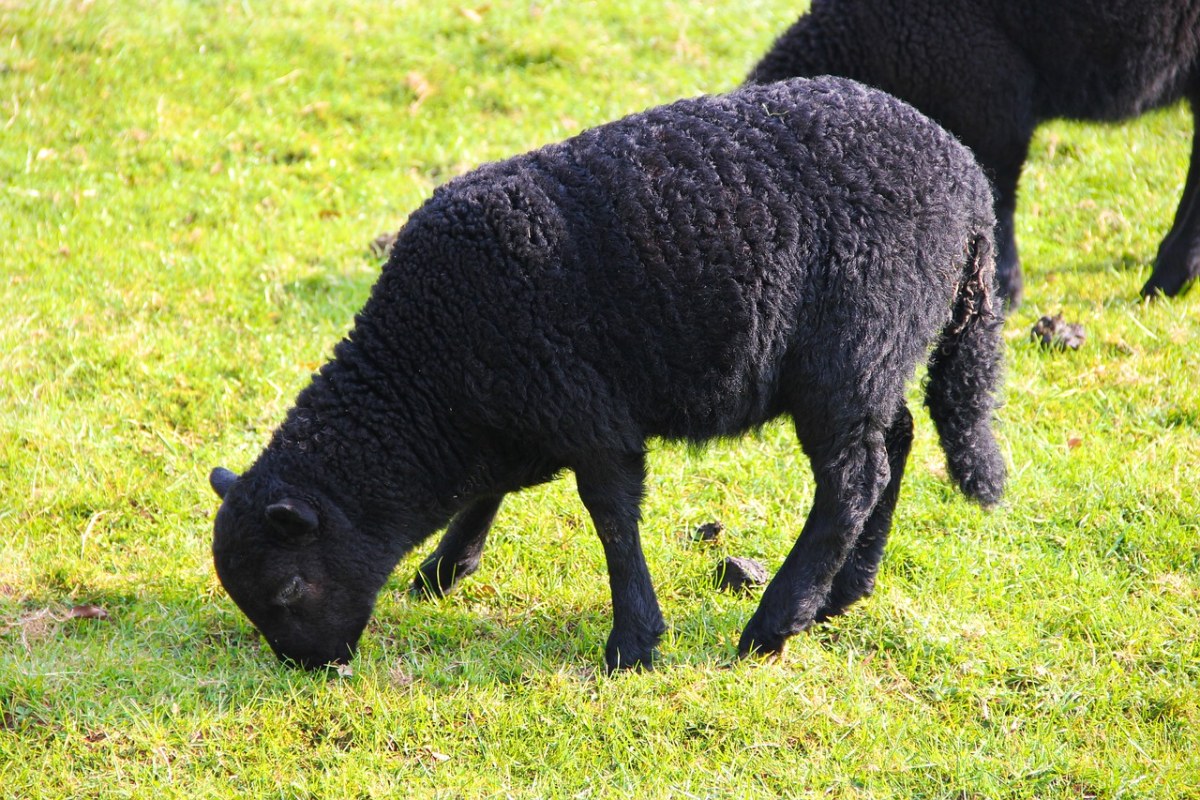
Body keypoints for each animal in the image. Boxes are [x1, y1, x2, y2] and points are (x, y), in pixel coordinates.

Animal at [206, 76, 1003, 676]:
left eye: (288, 588)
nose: (315, 668)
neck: (430, 373)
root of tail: (970, 183)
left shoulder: (586, 412)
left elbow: (611, 518)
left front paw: (633, 644)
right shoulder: (522, 407)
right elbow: (489, 492)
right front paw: (444, 570)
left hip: (852, 344)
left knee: (852, 481)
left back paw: (774, 624)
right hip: (879, 354)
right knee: (894, 441)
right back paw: (845, 594)